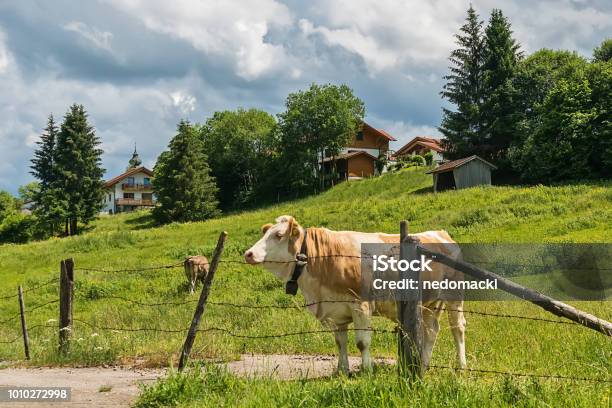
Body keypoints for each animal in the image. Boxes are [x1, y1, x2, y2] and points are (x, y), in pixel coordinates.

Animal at [245, 215, 468, 374]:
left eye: (278, 235)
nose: (248, 254)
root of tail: (441, 234)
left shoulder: (361, 305)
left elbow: (362, 342)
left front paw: (366, 370)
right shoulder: (335, 309)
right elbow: (340, 342)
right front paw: (342, 370)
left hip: (454, 296)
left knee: (457, 328)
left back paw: (461, 366)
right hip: (430, 303)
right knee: (432, 330)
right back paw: (424, 365)